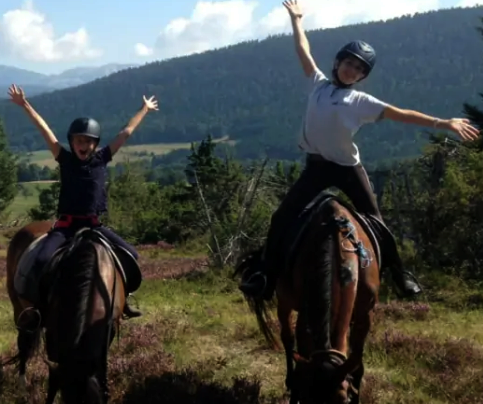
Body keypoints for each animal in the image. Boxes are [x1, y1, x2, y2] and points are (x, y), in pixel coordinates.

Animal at [3, 221, 126, 404]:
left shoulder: (108, 331)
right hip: (21, 310)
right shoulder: (53, 333)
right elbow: (54, 378)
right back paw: (22, 387)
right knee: (23, 344)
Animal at [235, 193, 382, 404]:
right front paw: (296, 390)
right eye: (307, 399)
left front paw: (356, 392)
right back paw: (290, 379)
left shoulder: (365, 315)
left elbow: (357, 360)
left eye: (343, 400)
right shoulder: (305, 315)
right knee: (287, 339)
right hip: (284, 302)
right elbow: (302, 352)